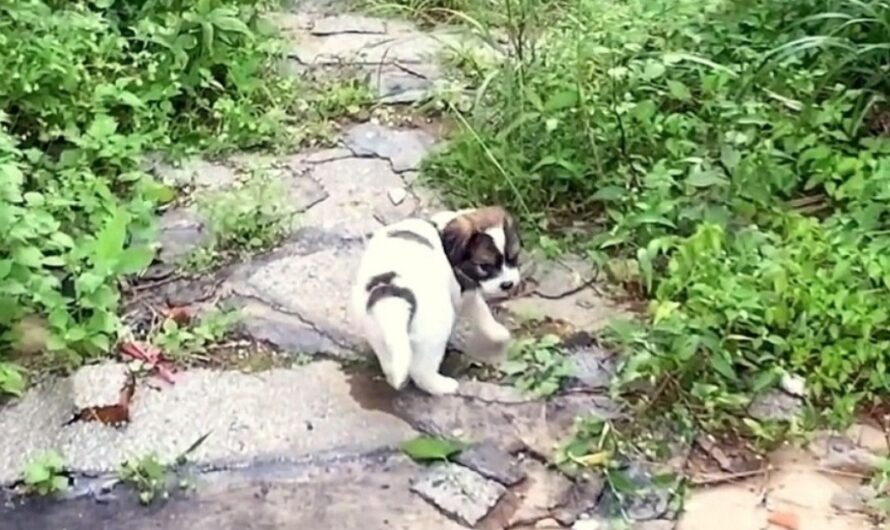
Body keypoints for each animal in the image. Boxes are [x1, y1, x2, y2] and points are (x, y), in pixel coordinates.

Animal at [348, 205, 520, 392]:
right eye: (484, 266)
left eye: (513, 258)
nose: (508, 284)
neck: (442, 229)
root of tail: (392, 291)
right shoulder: (464, 290)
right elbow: (480, 310)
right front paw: (499, 333)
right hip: (434, 331)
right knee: (422, 370)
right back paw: (443, 385)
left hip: (380, 331)